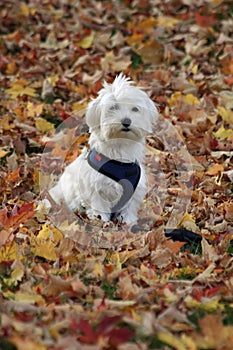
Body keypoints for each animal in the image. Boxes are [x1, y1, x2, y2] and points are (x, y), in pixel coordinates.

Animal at [46, 73, 157, 226]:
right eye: (113, 107)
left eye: (135, 109)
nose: (126, 121)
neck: (119, 147)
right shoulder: (96, 190)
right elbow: (99, 210)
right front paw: (102, 224)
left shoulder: (133, 191)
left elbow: (129, 211)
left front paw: (128, 224)